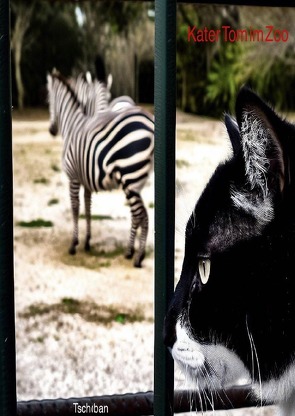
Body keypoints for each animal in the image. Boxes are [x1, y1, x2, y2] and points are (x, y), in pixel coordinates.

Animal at [47, 71, 154, 266]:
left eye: (49, 100)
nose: (51, 130)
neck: (74, 124)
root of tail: (149, 121)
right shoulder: (86, 179)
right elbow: (88, 207)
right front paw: (87, 242)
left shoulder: (73, 176)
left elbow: (75, 208)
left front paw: (74, 244)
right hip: (136, 180)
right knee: (138, 214)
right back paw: (131, 252)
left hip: (130, 177)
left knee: (140, 215)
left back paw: (137, 257)